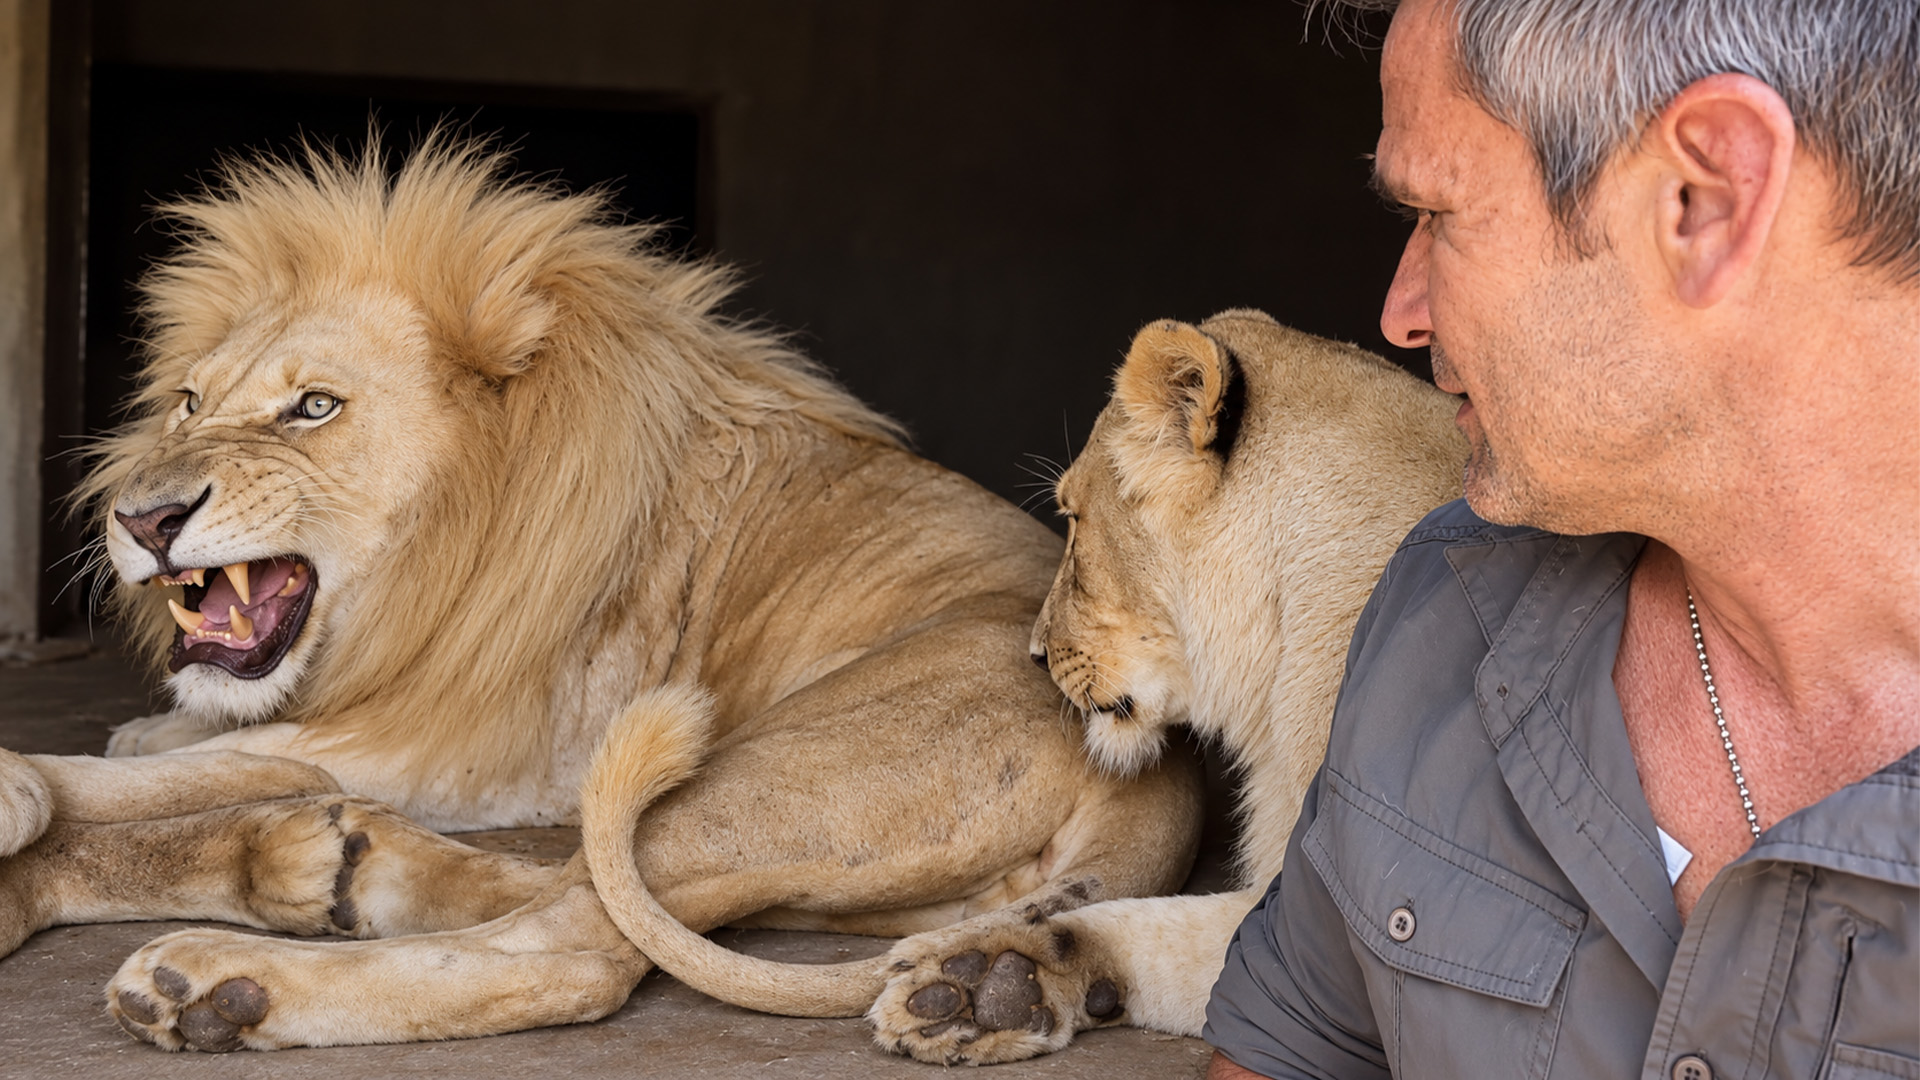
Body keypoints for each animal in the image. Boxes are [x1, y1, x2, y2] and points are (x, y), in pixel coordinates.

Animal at [0, 139, 1203, 1051]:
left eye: (314, 408)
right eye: (189, 401)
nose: (142, 519)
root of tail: (1161, 771)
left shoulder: (462, 744)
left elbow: (187, 767)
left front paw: (27, 781)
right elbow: (177, 750)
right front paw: (151, 743)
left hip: (763, 768)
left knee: (572, 950)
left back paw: (218, 985)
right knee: (578, 881)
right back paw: (358, 874)